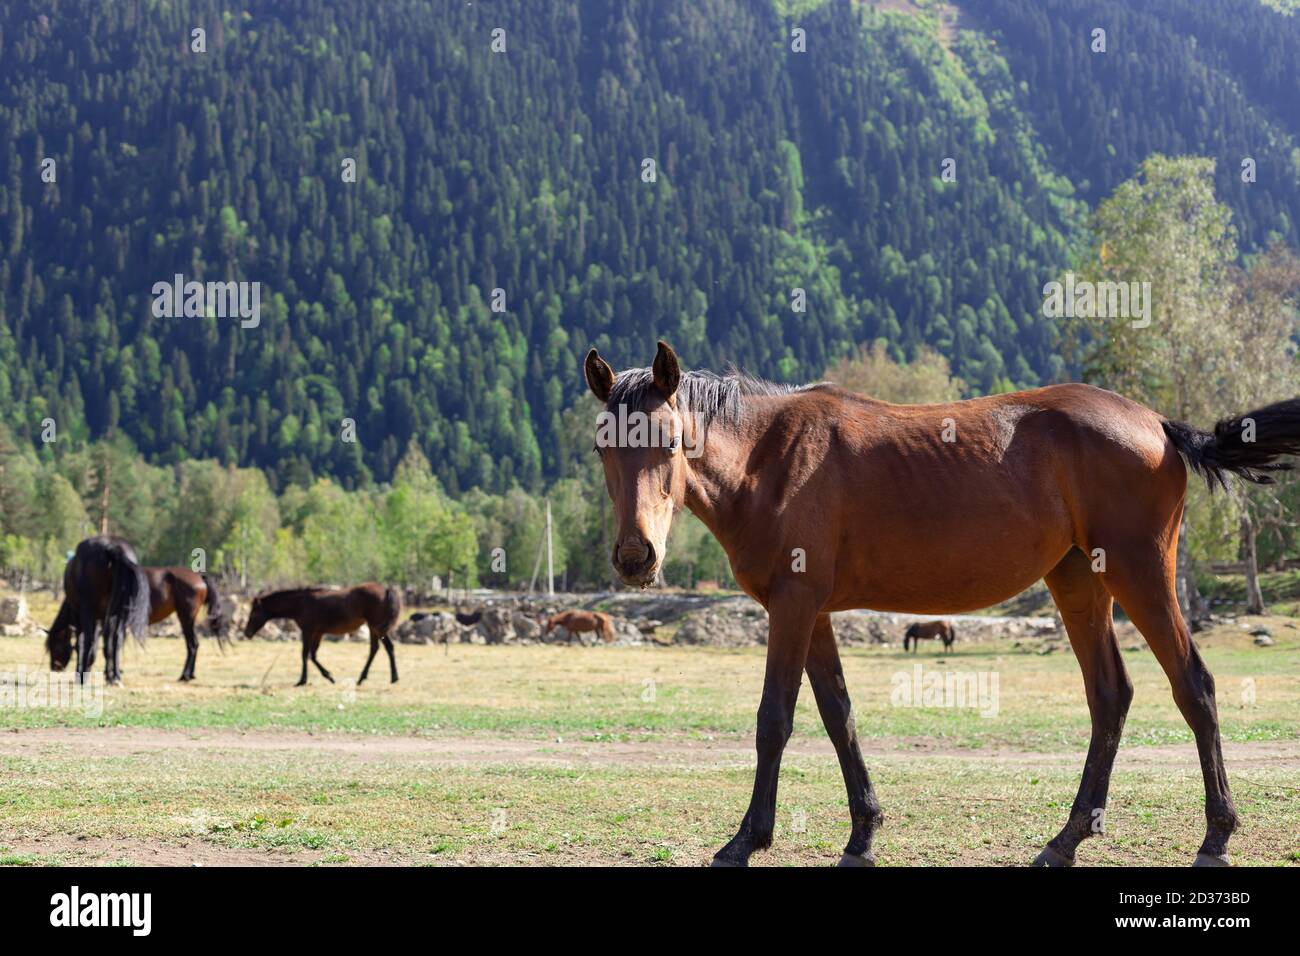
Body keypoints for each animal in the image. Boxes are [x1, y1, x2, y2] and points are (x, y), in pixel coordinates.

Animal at [45, 536, 151, 685]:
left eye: (55, 645)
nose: (55, 667)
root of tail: (111, 547)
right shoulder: (104, 618)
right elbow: (106, 645)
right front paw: (108, 675)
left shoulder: (81, 616)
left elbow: (82, 644)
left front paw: (83, 672)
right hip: (118, 612)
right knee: (116, 640)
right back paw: (116, 676)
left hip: (89, 611)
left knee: (89, 640)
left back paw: (84, 677)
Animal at [243, 584, 402, 686]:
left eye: (253, 613)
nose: (247, 633)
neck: (301, 603)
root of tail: (386, 590)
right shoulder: (317, 633)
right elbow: (313, 655)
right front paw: (329, 676)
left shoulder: (308, 631)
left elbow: (305, 654)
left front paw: (302, 680)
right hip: (373, 627)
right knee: (376, 648)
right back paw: (364, 678)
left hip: (376, 626)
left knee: (387, 647)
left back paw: (393, 677)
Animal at [584, 340, 1300, 868]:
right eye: (602, 445)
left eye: (670, 439)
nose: (635, 557)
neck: (772, 459)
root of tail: (1159, 425)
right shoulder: (814, 614)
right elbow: (839, 715)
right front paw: (863, 834)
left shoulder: (791, 608)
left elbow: (774, 721)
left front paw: (745, 841)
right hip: (1080, 581)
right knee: (1110, 695)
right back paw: (1067, 838)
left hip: (1141, 573)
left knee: (1194, 687)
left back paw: (1216, 836)